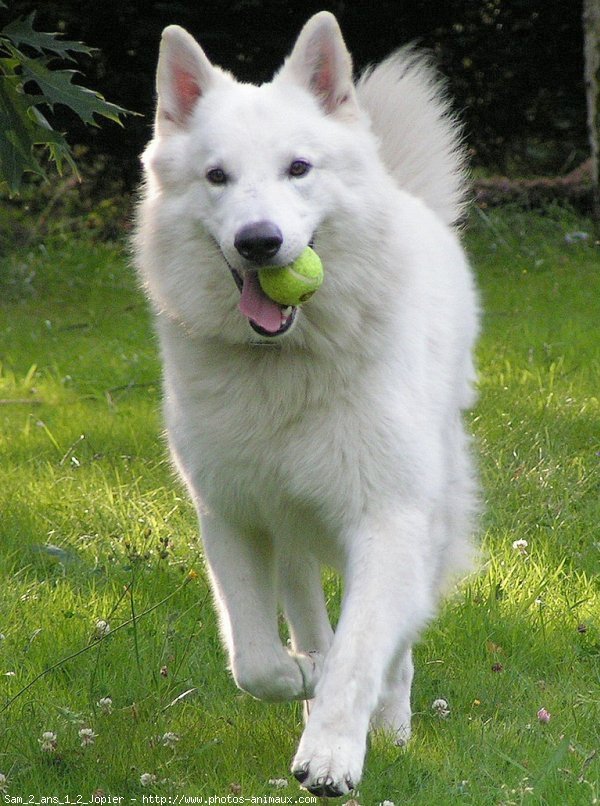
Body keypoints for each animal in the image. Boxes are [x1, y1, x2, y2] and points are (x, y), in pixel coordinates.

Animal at [135, 12, 478, 800]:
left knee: (397, 646)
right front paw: (300, 679)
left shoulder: (387, 521)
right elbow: (256, 660)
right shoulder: (233, 517)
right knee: (307, 611)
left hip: (428, 523)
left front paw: (332, 753)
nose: (259, 242)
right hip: (290, 529)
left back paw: (392, 723)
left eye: (299, 168)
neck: (285, 365)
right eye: (217, 177)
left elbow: (361, 653)